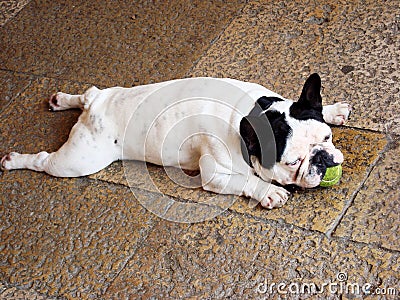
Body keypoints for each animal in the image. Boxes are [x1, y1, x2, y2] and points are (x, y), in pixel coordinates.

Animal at [0, 73, 350, 209]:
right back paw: (15, 160)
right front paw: (269, 192)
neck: (255, 113)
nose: (322, 158)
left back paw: (62, 99)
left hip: (102, 96)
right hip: (80, 160)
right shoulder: (214, 173)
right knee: (44, 161)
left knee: (88, 92)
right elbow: (247, 181)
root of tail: (94, 110)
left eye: (327, 138)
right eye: (292, 162)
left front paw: (333, 110)